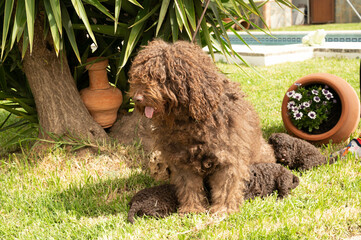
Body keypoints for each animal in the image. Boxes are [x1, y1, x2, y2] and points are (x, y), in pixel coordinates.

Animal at [128, 39, 274, 214]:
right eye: (138, 75)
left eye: (160, 77)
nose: (136, 98)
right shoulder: (182, 161)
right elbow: (189, 187)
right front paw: (192, 209)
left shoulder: (228, 158)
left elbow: (226, 187)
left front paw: (223, 209)